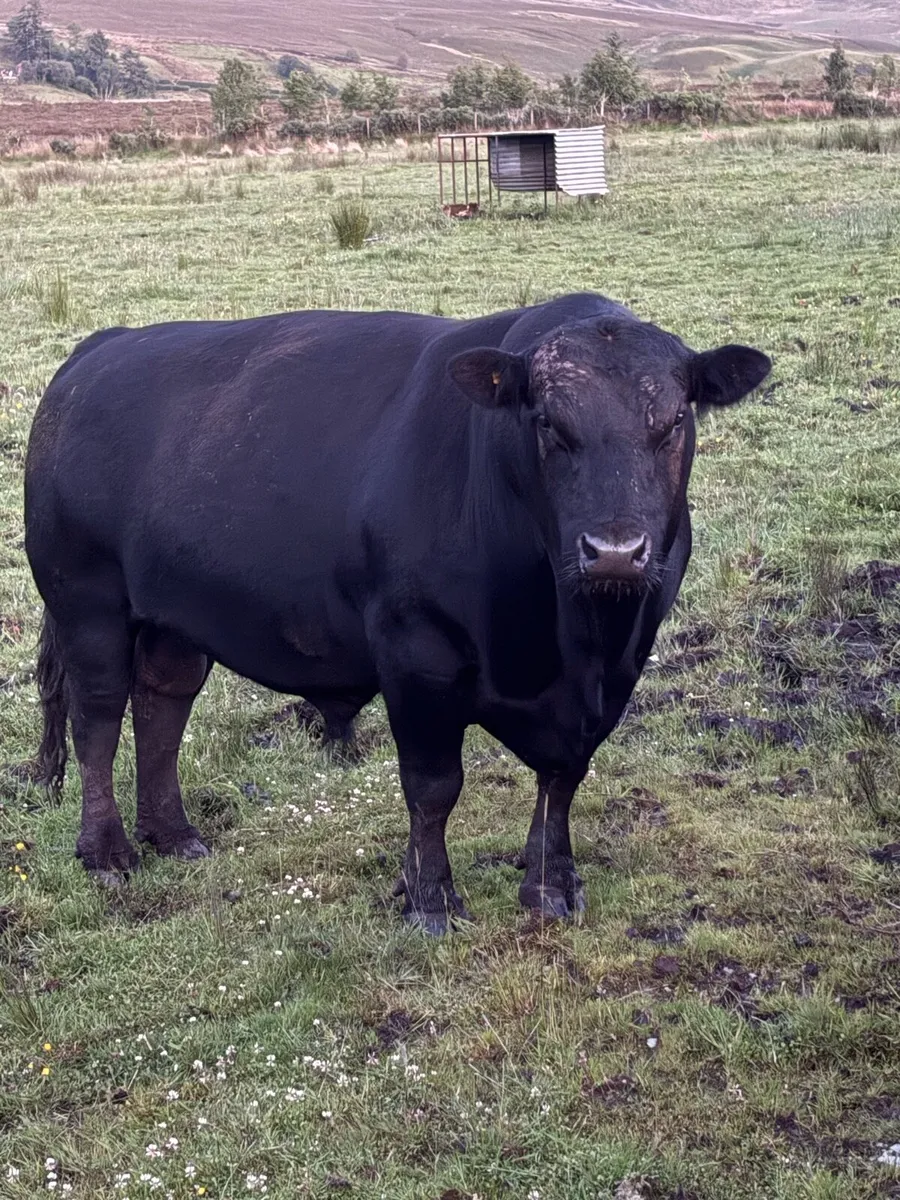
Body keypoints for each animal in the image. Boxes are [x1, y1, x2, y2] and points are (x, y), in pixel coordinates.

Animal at [24, 293, 770, 930]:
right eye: (547, 424)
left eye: (674, 421)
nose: (615, 551)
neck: (565, 643)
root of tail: (98, 349)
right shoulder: (418, 655)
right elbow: (434, 786)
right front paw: (430, 899)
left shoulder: (616, 671)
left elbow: (563, 778)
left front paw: (550, 884)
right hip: (87, 602)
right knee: (97, 721)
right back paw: (107, 852)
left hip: (173, 617)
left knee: (162, 705)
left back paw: (174, 834)